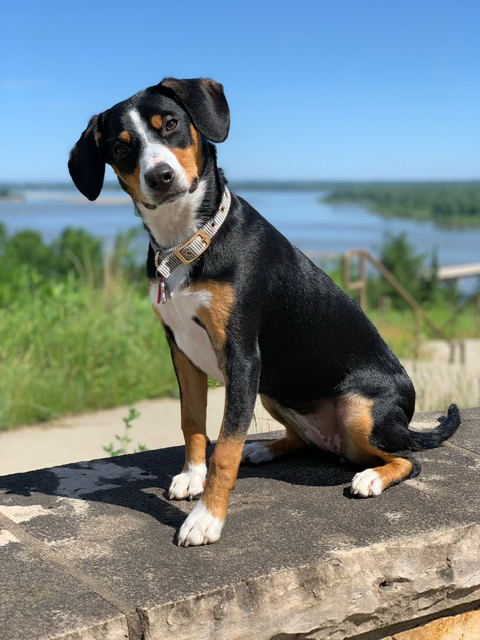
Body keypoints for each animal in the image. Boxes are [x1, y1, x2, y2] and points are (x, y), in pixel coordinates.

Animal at [68, 75, 462, 544]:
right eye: (121, 147)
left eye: (172, 124)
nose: (160, 176)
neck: (187, 243)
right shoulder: (182, 351)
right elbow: (193, 422)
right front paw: (192, 476)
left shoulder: (242, 356)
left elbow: (226, 447)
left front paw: (206, 517)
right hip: (274, 388)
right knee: (306, 441)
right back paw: (264, 450)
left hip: (355, 410)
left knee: (408, 459)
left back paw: (369, 477)